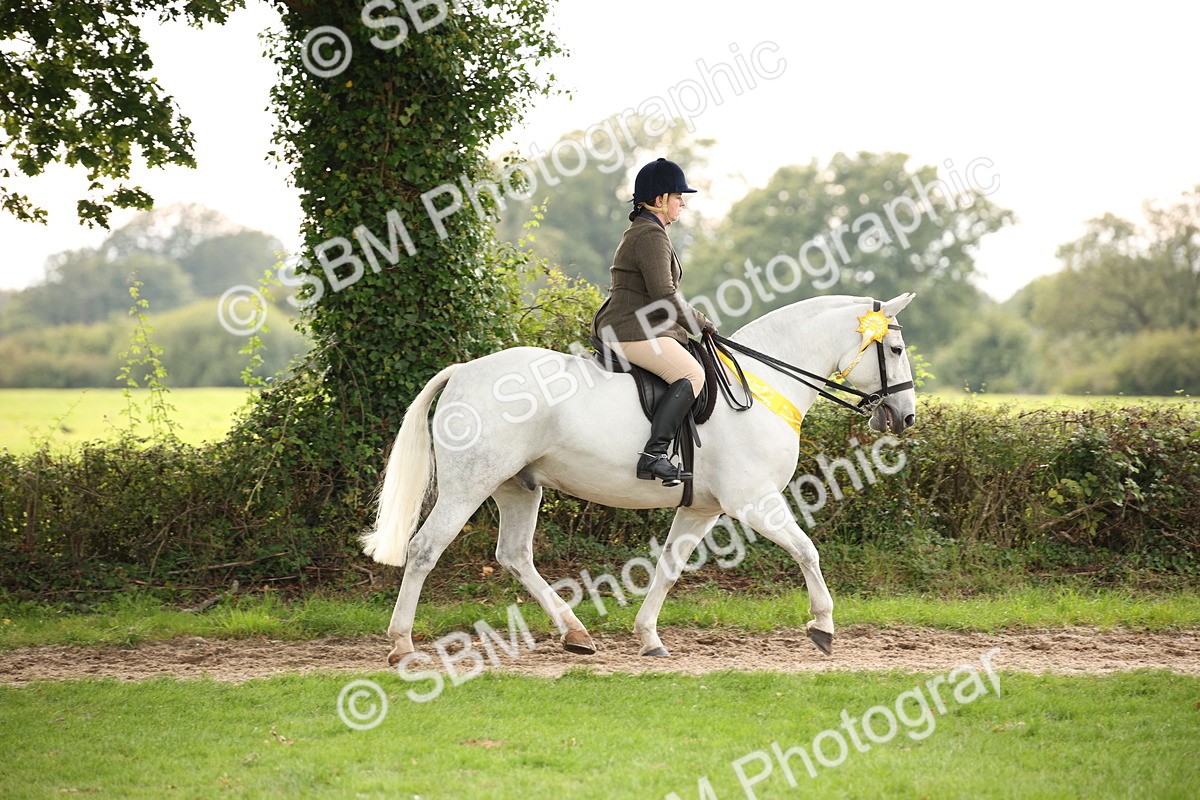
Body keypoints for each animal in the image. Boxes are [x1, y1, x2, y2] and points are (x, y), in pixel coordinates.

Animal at [362, 292, 918, 665]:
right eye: (894, 350)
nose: (905, 417)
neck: (764, 386)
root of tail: (462, 371)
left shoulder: (702, 508)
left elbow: (669, 568)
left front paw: (649, 638)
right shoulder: (753, 501)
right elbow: (807, 551)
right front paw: (823, 626)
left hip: (518, 487)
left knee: (515, 556)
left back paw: (576, 634)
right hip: (468, 486)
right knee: (425, 550)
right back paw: (401, 645)